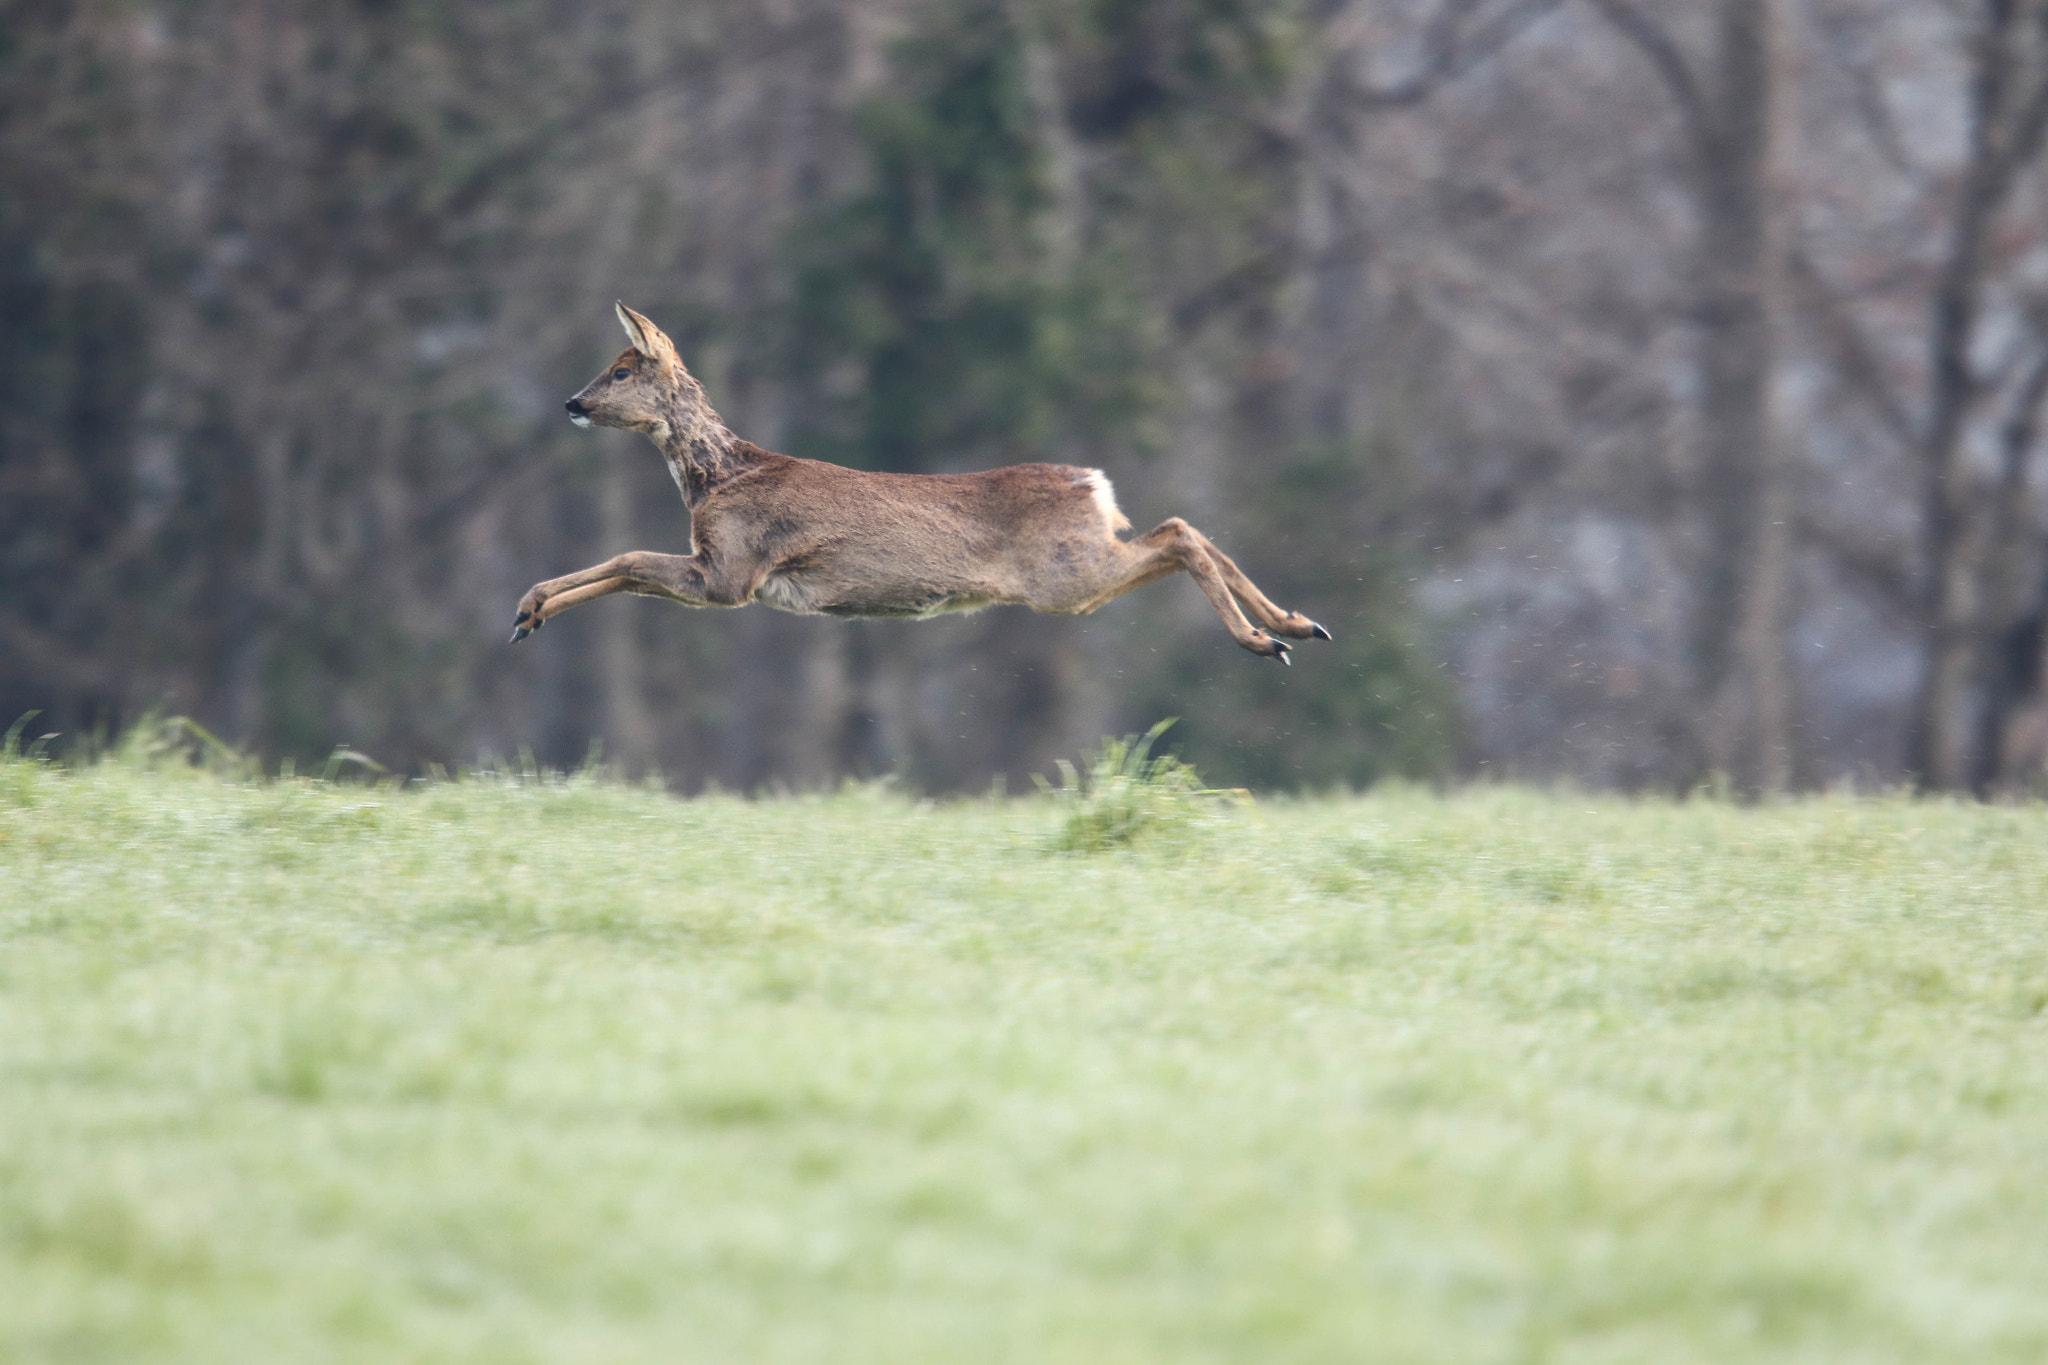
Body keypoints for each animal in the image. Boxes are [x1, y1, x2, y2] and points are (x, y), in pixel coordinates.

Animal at [516, 302, 1327, 663]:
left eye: (622, 370)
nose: (572, 402)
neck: (718, 475)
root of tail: (1092, 481)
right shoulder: (724, 571)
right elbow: (628, 569)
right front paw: (531, 611)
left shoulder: (733, 570)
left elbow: (629, 560)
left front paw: (531, 606)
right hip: (1081, 563)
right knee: (1183, 530)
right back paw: (1296, 624)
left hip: (1064, 576)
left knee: (1179, 537)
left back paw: (1263, 639)